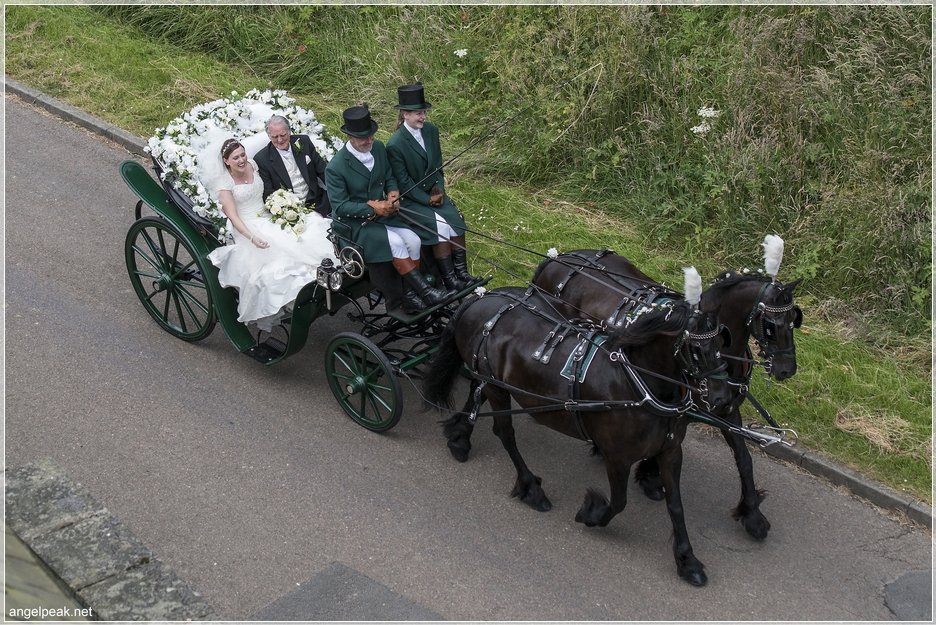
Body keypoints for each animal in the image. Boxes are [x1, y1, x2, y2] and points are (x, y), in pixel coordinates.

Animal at [422, 286, 732, 584]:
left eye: (721, 345)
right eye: (697, 349)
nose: (722, 399)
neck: (638, 385)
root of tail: (481, 297)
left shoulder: (670, 452)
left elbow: (675, 506)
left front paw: (687, 561)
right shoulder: (617, 457)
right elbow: (619, 501)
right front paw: (592, 512)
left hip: (491, 380)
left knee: (478, 392)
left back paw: (460, 434)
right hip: (496, 386)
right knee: (505, 433)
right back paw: (530, 488)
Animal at [532, 246, 800, 540]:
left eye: (794, 321)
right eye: (772, 325)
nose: (788, 369)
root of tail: (557, 258)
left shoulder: (728, 411)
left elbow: (744, 460)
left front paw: (752, 514)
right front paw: (650, 476)